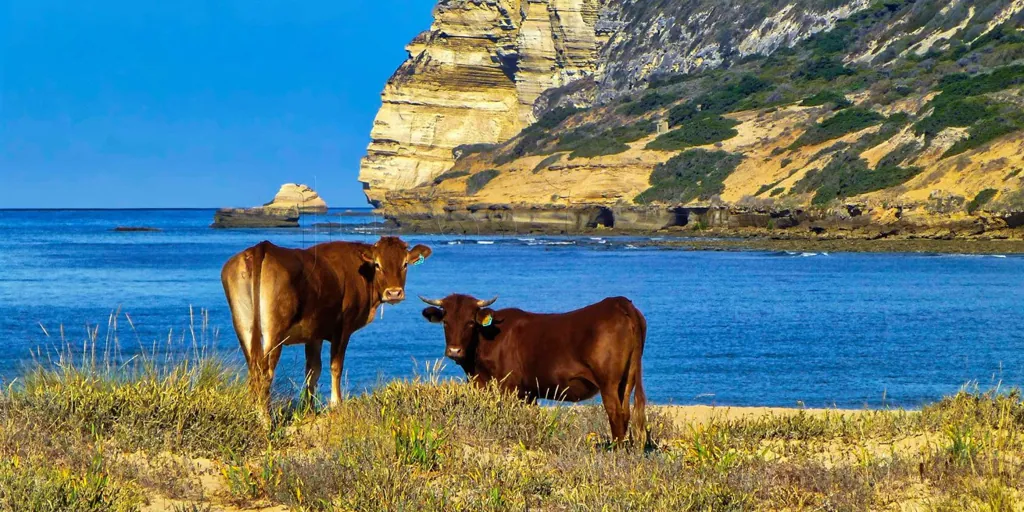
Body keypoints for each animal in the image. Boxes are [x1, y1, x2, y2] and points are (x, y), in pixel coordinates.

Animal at [222, 235, 430, 415]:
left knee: (253, 371)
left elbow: (312, 370)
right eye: (378, 265)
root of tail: (261, 248)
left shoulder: (314, 333)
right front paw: (336, 404)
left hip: (243, 325)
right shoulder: (343, 328)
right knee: (265, 374)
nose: (394, 293)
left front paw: (308, 409)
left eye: (405, 264)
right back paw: (265, 420)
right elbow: (336, 366)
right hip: (273, 332)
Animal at [417, 294, 643, 442]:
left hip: (609, 382)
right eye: (445, 322)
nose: (454, 351)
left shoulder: (509, 388)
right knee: (626, 413)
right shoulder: (528, 392)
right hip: (628, 378)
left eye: (470, 323)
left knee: (615, 414)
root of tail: (619, 303)